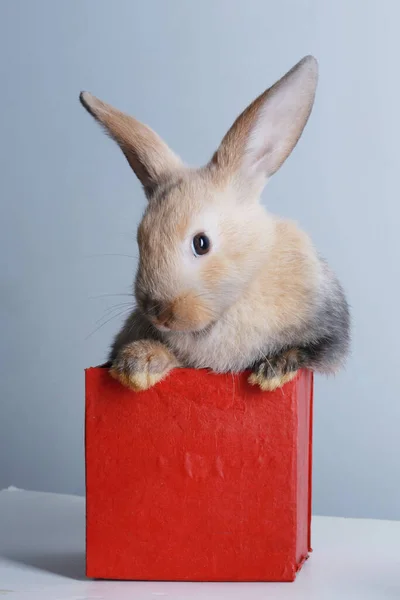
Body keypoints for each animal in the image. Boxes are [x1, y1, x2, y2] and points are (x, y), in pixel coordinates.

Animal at [80, 56, 350, 394]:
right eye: (141, 239)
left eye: (201, 243)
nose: (159, 313)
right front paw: (138, 365)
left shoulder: (328, 328)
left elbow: (307, 350)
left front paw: (272, 372)